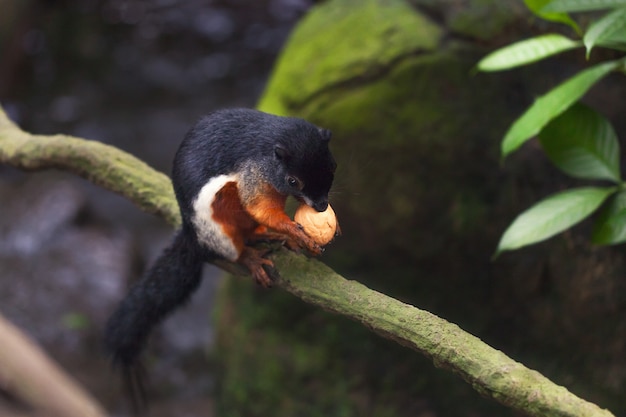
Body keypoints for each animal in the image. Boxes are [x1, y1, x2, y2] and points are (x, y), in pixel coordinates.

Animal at [103, 107, 336, 404]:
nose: (321, 206)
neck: (273, 142)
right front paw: (298, 233)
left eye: (332, 166)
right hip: (214, 227)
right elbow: (259, 207)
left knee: (251, 229)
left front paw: (302, 234)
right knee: (233, 247)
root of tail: (192, 237)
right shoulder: (254, 175)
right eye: (293, 181)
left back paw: (267, 236)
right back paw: (250, 256)